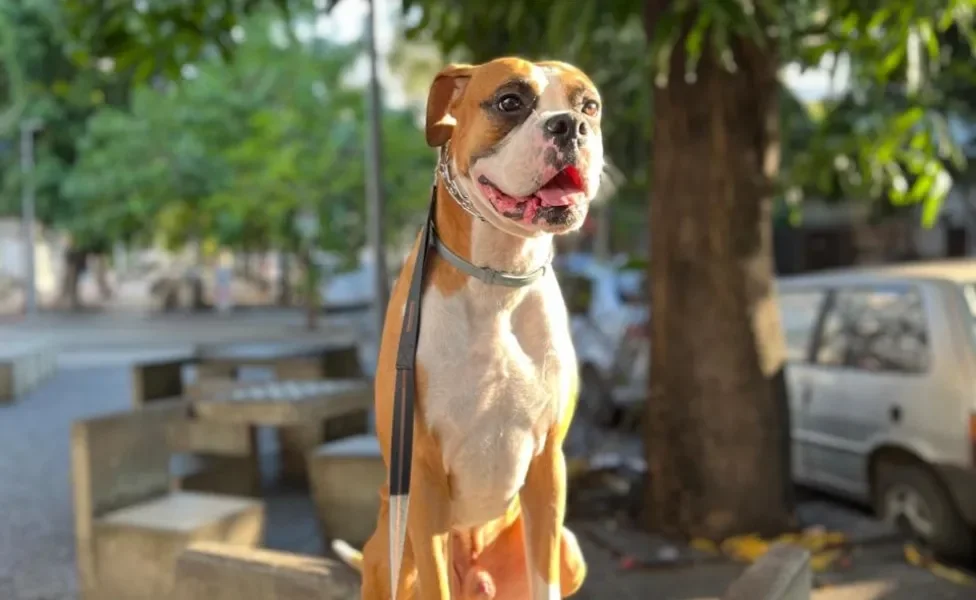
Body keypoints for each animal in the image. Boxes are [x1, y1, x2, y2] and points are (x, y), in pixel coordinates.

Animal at [336, 57, 608, 600]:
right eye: (510, 101)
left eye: (589, 105)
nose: (570, 125)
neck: (499, 279)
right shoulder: (422, 476)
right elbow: (434, 580)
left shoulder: (548, 466)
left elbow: (544, 576)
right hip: (393, 554)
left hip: (568, 550)